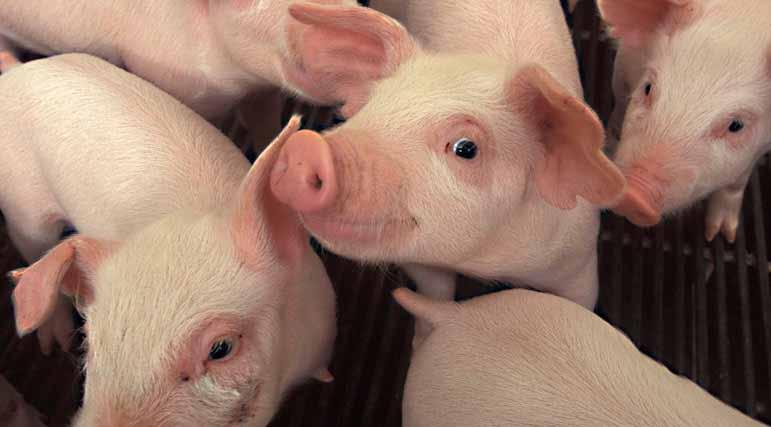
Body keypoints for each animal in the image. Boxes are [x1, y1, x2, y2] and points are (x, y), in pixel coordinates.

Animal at [271, 1, 625, 328]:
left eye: (465, 148)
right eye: (370, 107)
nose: (306, 148)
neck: (483, 259)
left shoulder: (578, 261)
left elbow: (579, 305)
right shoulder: (420, 262)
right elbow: (434, 294)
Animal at [601, 0, 771, 242]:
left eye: (736, 126)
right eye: (648, 87)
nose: (634, 193)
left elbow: (736, 183)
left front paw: (720, 236)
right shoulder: (624, 67)